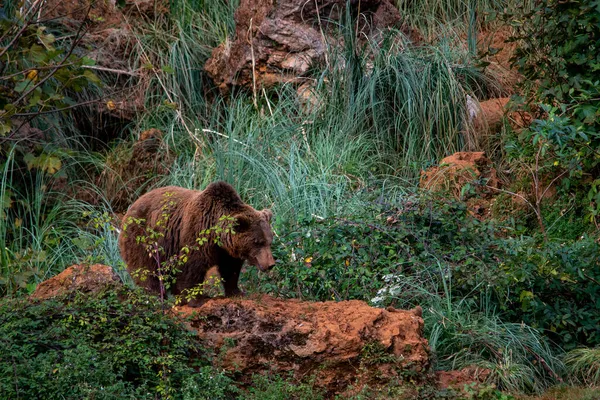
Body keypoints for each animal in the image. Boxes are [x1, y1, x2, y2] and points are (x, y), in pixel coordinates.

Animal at [119, 182, 274, 304]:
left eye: (269, 241)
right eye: (258, 242)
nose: (270, 264)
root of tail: (131, 207)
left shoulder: (226, 251)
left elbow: (231, 269)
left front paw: (237, 292)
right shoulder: (196, 234)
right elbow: (191, 267)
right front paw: (196, 299)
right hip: (144, 239)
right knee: (147, 272)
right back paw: (156, 298)